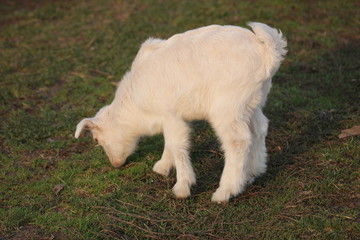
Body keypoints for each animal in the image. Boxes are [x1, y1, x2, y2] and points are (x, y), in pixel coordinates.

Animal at [74, 22, 286, 202]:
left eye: (96, 139)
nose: (115, 164)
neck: (135, 104)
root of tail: (267, 52)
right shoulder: (169, 118)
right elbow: (170, 142)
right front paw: (162, 166)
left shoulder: (170, 114)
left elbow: (178, 144)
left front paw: (182, 187)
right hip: (252, 101)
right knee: (260, 128)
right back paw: (254, 171)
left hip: (227, 106)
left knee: (237, 141)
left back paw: (225, 191)